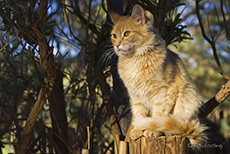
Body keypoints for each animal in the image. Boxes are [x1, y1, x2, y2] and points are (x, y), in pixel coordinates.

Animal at [108, 4, 208, 146]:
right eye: (114, 35)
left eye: (127, 33)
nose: (117, 45)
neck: (134, 59)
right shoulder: (136, 95)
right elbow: (139, 113)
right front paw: (138, 130)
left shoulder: (164, 92)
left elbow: (158, 115)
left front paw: (151, 130)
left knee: (178, 126)